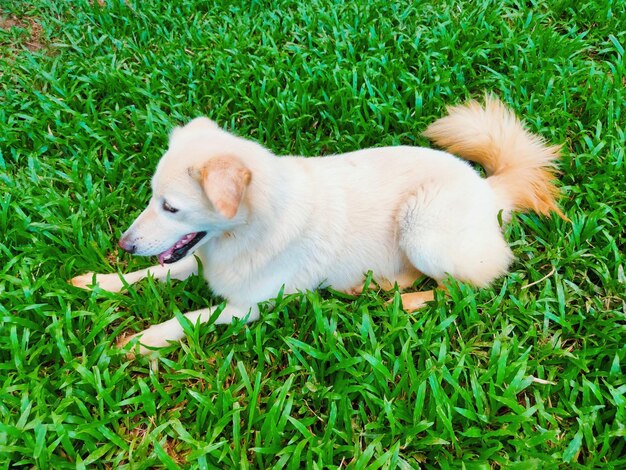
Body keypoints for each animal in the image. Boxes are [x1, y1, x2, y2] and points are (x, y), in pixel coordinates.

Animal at [70, 98, 564, 356]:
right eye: (152, 198)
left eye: (171, 207)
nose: (124, 244)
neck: (251, 229)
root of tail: (489, 188)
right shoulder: (201, 261)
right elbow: (158, 272)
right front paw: (102, 281)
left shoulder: (248, 307)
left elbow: (186, 318)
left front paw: (143, 340)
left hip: (421, 228)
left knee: (468, 287)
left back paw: (405, 302)